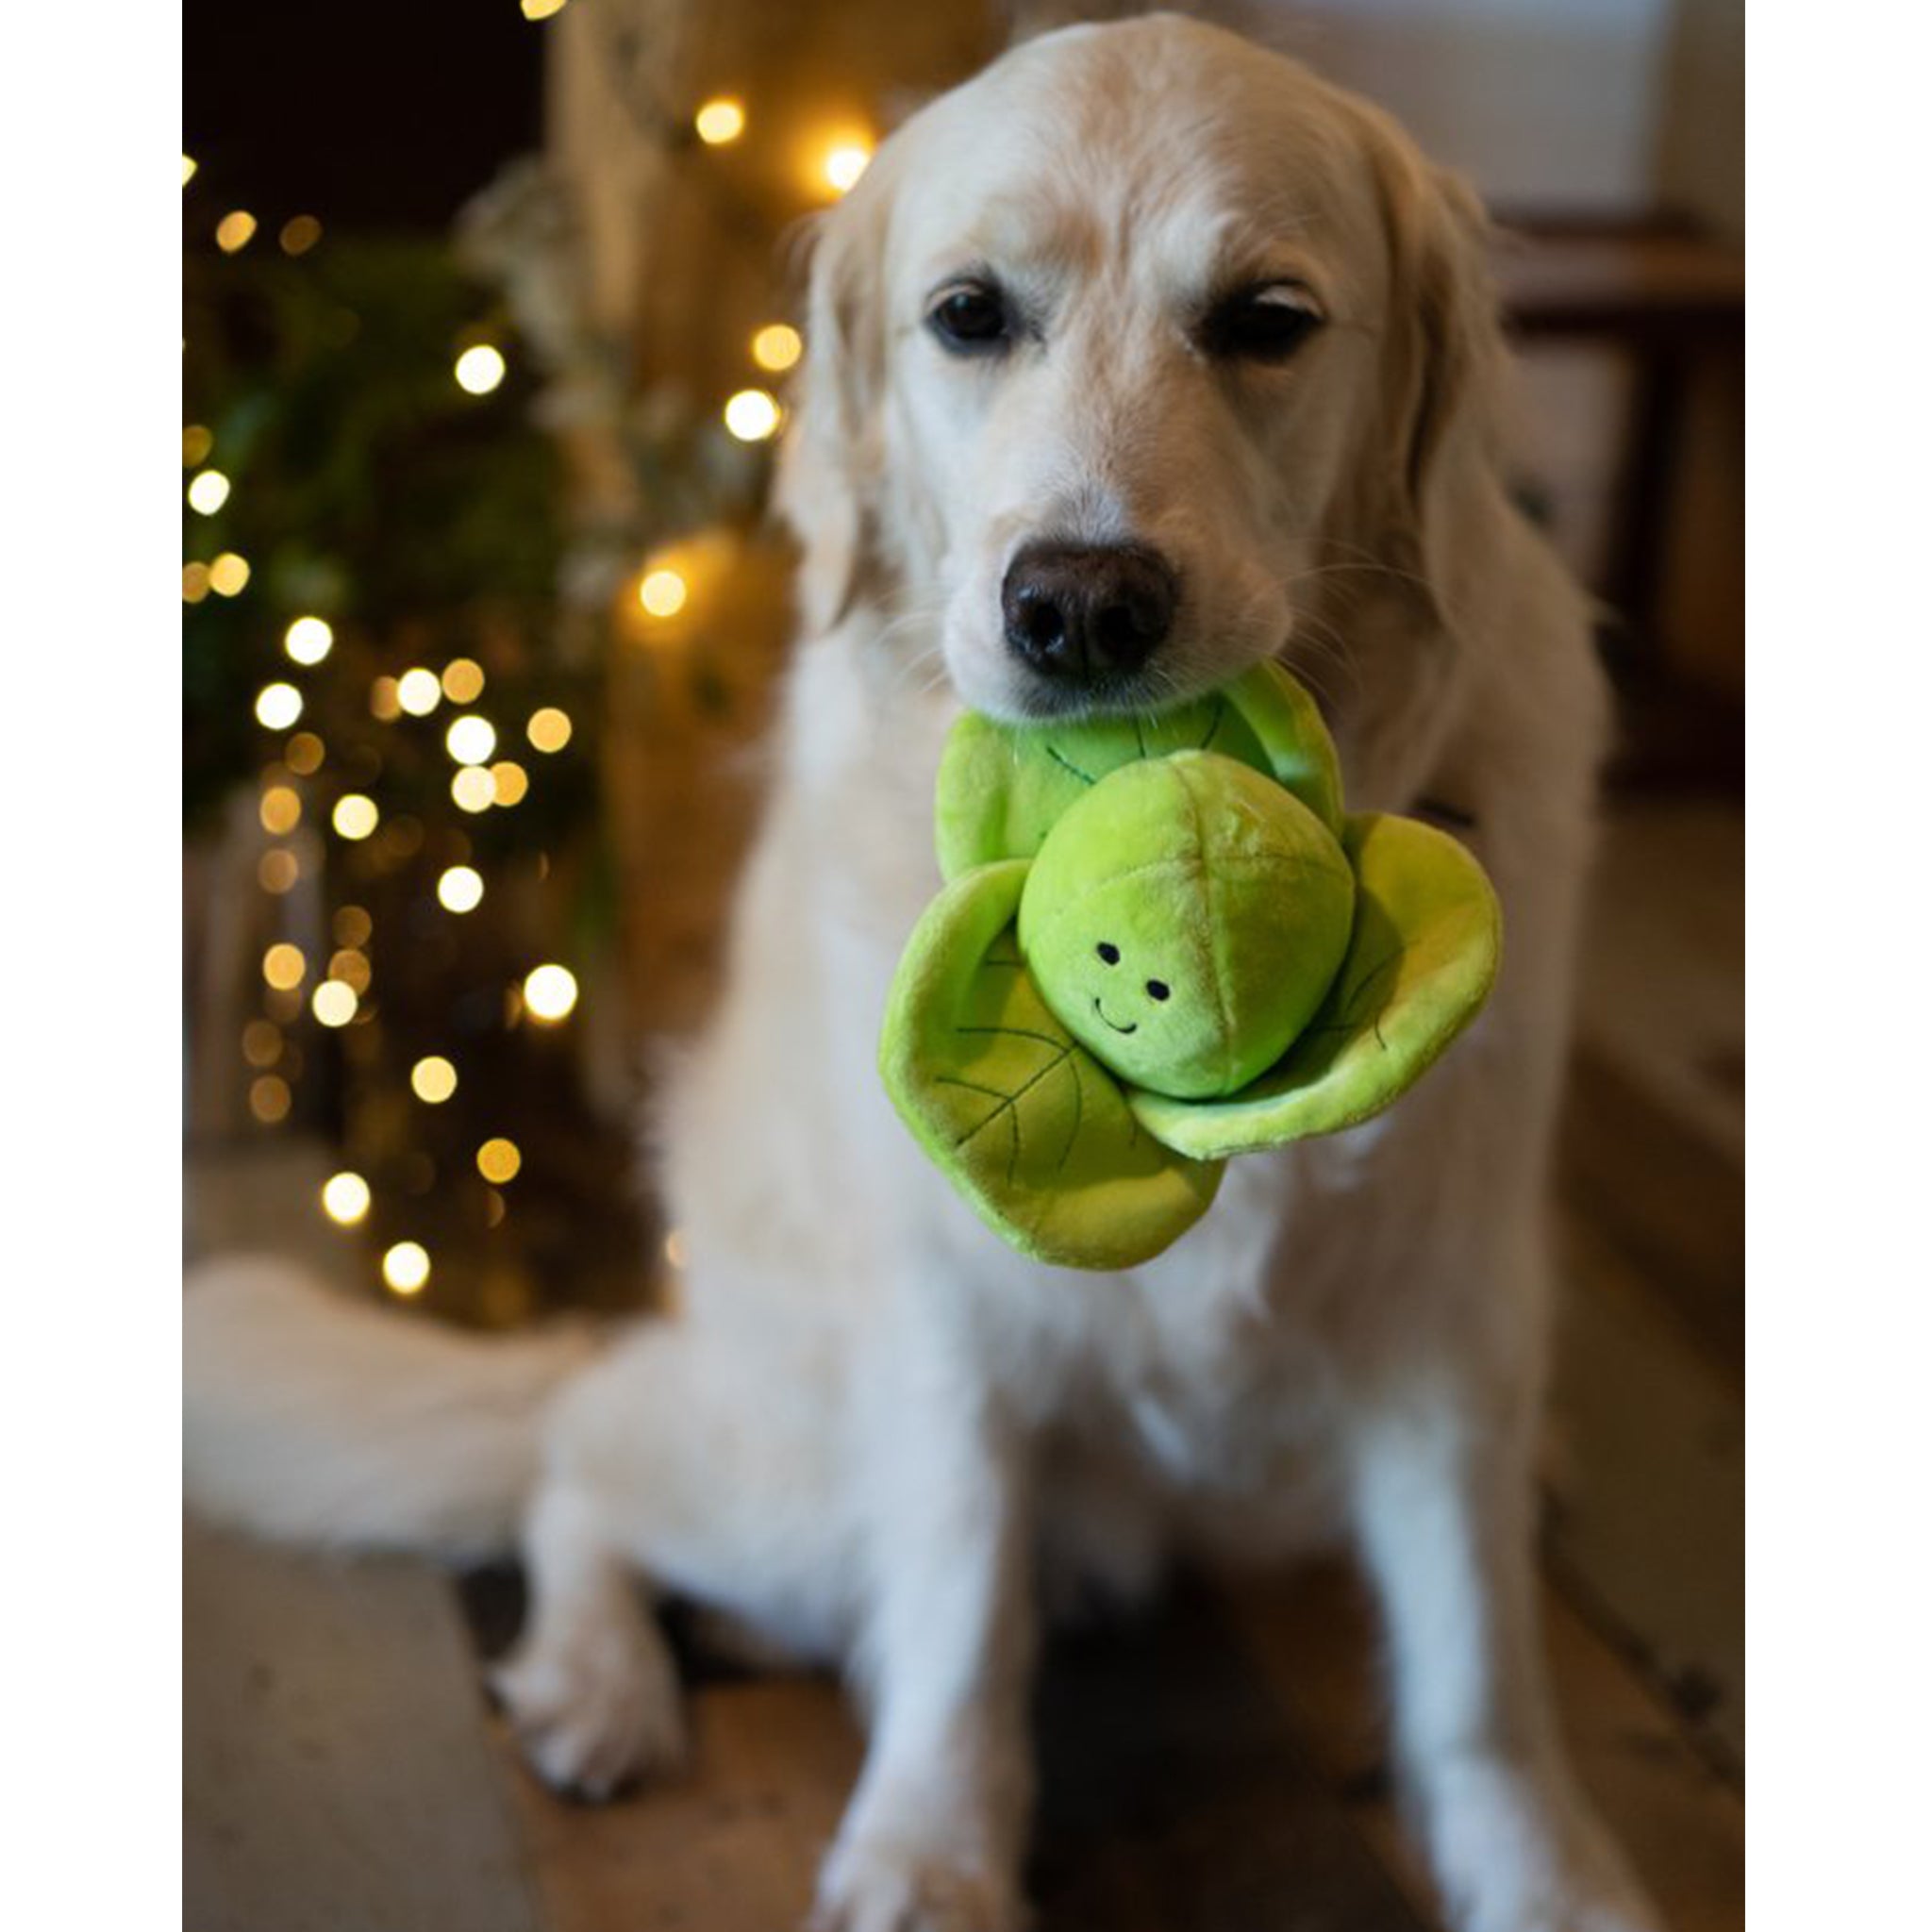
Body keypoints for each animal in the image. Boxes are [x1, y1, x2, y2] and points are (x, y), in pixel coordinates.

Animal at [188, 18, 1661, 1932]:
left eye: (1265, 318)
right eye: (969, 316)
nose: (1082, 606)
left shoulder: (1450, 1303)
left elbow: (1478, 1657)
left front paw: (1544, 1874)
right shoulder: (945, 1321)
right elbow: (961, 1606)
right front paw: (928, 1849)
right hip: (794, 1462)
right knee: (589, 1450)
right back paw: (600, 1679)